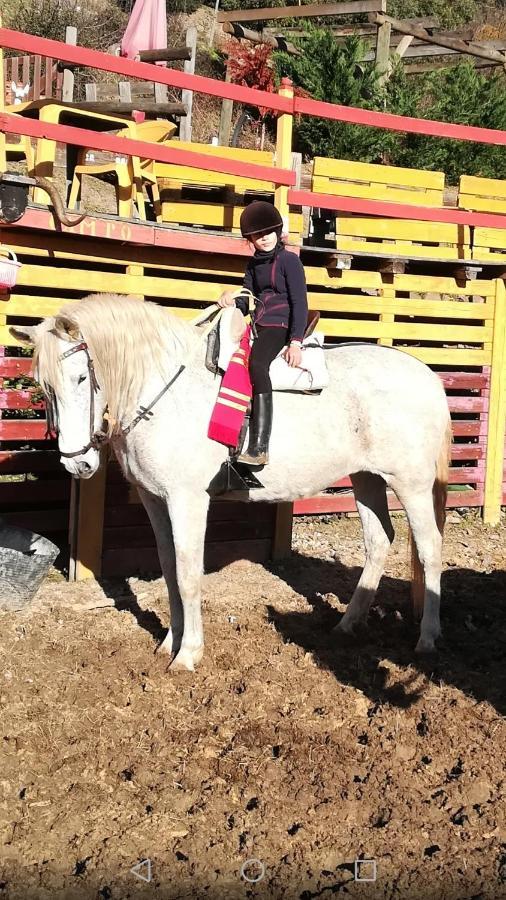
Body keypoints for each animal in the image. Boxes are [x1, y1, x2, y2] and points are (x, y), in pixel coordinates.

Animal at [10, 298, 450, 672]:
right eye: (44, 385)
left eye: (82, 376)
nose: (77, 462)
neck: (164, 390)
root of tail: (428, 376)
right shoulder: (155, 500)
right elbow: (169, 569)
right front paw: (169, 642)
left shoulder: (187, 500)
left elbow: (188, 574)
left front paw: (188, 654)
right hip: (367, 479)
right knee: (379, 541)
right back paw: (348, 624)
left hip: (410, 484)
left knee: (429, 548)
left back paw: (428, 639)